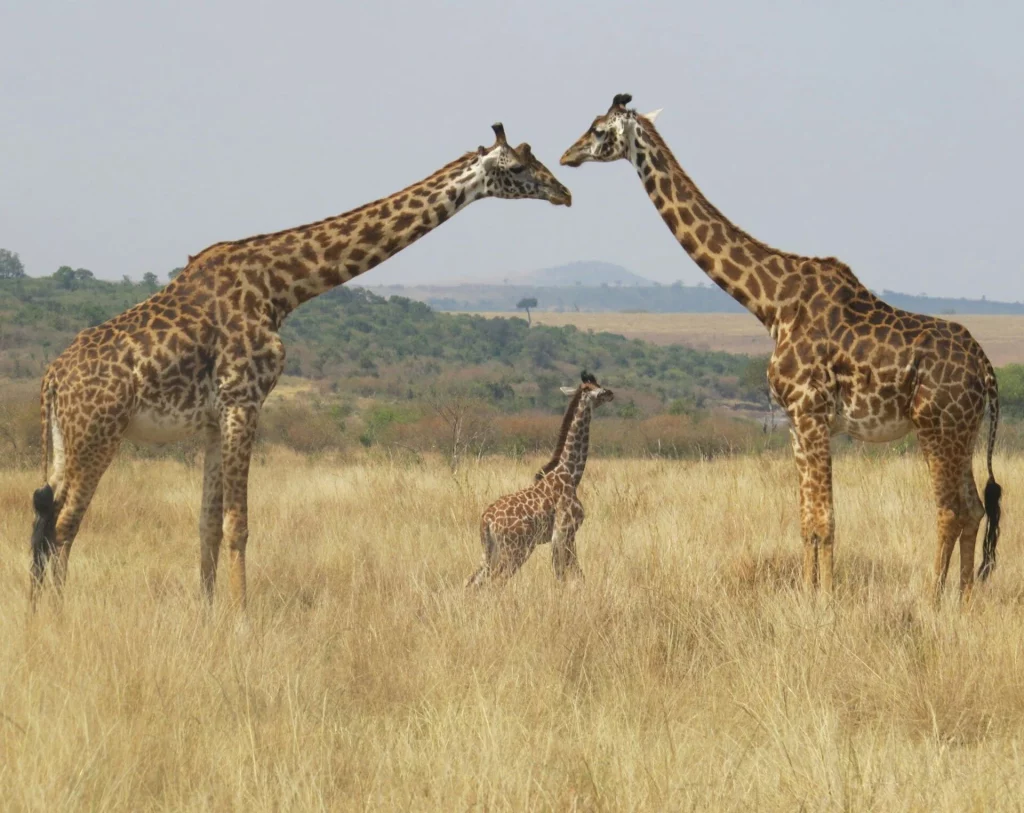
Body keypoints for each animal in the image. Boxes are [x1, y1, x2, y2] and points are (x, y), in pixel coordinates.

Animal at [29, 123, 573, 608]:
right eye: (519, 167)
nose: (563, 191)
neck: (281, 286)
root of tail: (52, 381)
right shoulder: (244, 400)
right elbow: (238, 525)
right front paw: (242, 621)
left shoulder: (214, 420)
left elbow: (206, 525)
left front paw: (207, 615)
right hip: (99, 434)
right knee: (64, 524)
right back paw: (59, 616)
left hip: (63, 441)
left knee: (43, 515)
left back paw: (38, 613)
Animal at [466, 371, 613, 587]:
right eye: (593, 388)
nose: (610, 393)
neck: (571, 473)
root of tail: (486, 520)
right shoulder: (565, 531)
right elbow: (572, 573)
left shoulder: (559, 536)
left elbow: (563, 573)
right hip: (516, 549)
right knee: (495, 582)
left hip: (490, 551)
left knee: (472, 582)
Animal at [560, 94, 1002, 601]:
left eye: (597, 129)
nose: (566, 155)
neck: (771, 303)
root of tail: (987, 369)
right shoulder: (795, 420)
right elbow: (807, 520)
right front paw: (808, 595)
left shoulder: (811, 412)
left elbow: (826, 520)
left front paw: (826, 600)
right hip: (964, 430)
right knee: (974, 508)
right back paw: (964, 599)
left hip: (937, 426)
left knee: (950, 510)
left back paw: (931, 599)